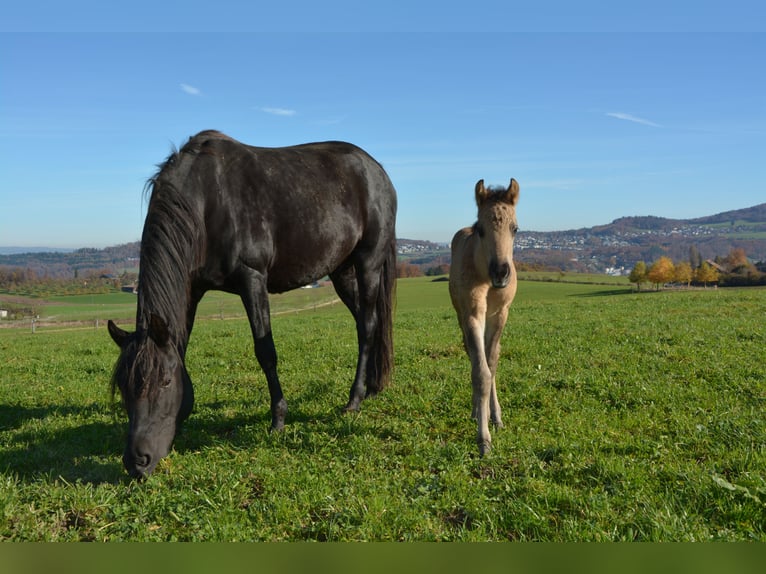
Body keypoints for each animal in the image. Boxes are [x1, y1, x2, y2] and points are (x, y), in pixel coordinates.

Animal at [107, 130, 397, 479]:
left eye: (164, 382)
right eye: (123, 386)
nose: (137, 462)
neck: (205, 202)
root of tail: (376, 170)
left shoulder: (252, 279)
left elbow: (265, 352)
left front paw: (279, 420)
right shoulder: (193, 289)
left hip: (368, 263)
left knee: (367, 325)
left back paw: (354, 400)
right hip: (341, 271)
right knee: (366, 322)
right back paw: (372, 386)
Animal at [449, 178, 519, 456]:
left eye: (515, 229)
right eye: (481, 230)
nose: (500, 272)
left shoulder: (500, 313)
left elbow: (492, 363)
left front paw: (494, 418)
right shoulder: (471, 314)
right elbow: (481, 372)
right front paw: (483, 439)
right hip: (459, 313)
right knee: (470, 355)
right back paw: (474, 411)